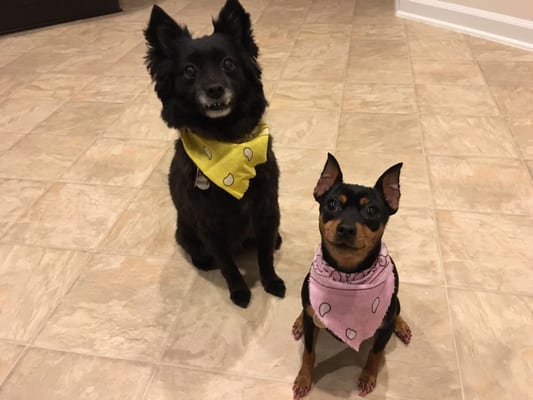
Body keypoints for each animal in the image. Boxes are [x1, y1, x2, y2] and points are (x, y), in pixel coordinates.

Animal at [143, 0, 284, 308]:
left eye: (228, 64)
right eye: (189, 70)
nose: (215, 89)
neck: (227, 142)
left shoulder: (267, 210)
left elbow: (265, 256)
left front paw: (271, 282)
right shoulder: (209, 226)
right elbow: (228, 266)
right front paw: (240, 291)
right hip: (183, 230)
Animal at [290, 153, 412, 396]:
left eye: (372, 210)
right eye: (332, 204)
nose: (346, 228)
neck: (347, 273)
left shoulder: (383, 329)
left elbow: (375, 353)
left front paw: (367, 377)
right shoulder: (311, 322)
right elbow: (309, 352)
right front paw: (304, 378)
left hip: (394, 302)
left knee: (397, 310)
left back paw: (401, 325)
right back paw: (299, 320)